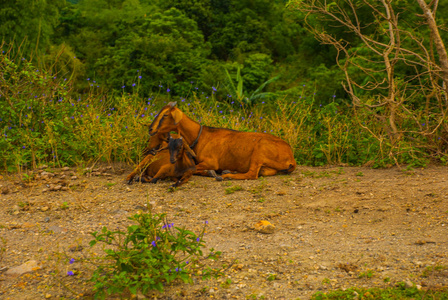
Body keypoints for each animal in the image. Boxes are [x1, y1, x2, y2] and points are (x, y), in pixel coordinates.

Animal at [146, 102, 298, 179]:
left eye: (165, 115)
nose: (150, 129)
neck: (201, 136)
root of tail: (291, 157)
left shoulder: (211, 161)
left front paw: (211, 172)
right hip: (268, 167)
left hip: (259, 151)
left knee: (252, 174)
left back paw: (228, 175)